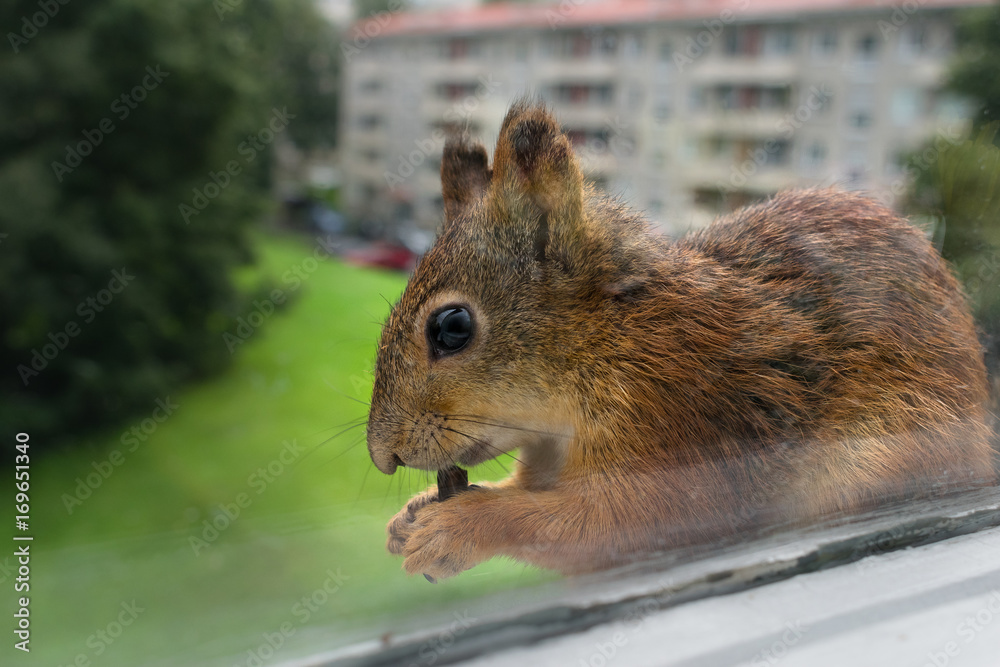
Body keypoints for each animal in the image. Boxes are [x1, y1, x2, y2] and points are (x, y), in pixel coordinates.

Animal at [364, 102, 996, 580]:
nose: (381, 456)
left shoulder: (673, 421)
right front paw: (410, 515)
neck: (603, 344)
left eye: (452, 327)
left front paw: (460, 525)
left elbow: (613, 525)